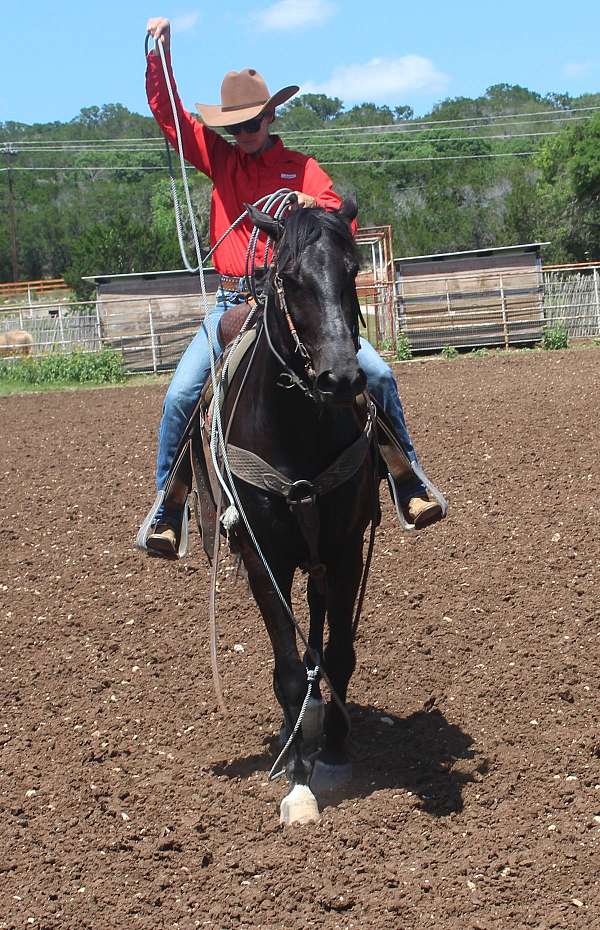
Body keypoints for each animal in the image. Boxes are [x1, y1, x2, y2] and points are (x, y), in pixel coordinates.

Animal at [214, 199, 380, 824]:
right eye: (288, 278)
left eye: (353, 270)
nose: (341, 378)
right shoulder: (265, 559)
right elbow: (285, 666)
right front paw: (298, 778)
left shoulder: (345, 549)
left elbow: (338, 652)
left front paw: (331, 750)